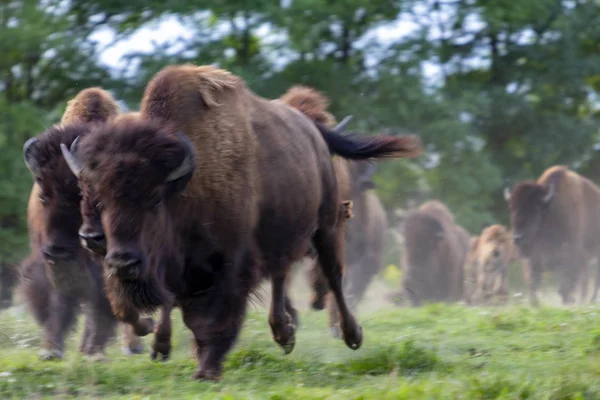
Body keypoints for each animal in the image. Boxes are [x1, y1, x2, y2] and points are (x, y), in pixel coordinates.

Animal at [20, 88, 154, 360]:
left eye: (80, 195)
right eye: (43, 196)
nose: (58, 251)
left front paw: (93, 351)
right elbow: (58, 301)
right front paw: (51, 350)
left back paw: (130, 345)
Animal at [58, 64, 420, 380]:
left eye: (155, 199)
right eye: (100, 199)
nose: (123, 262)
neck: (189, 185)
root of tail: (313, 131)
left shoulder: (230, 265)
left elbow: (216, 318)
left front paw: (206, 369)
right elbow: (179, 313)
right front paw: (177, 351)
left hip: (326, 224)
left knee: (333, 274)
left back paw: (351, 335)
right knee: (281, 275)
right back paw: (284, 333)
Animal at [504, 166, 600, 306]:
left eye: (536, 209)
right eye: (512, 208)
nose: (518, 238)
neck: (550, 210)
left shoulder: (571, 256)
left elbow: (565, 285)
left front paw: (570, 300)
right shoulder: (534, 259)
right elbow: (533, 284)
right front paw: (535, 305)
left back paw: (589, 301)